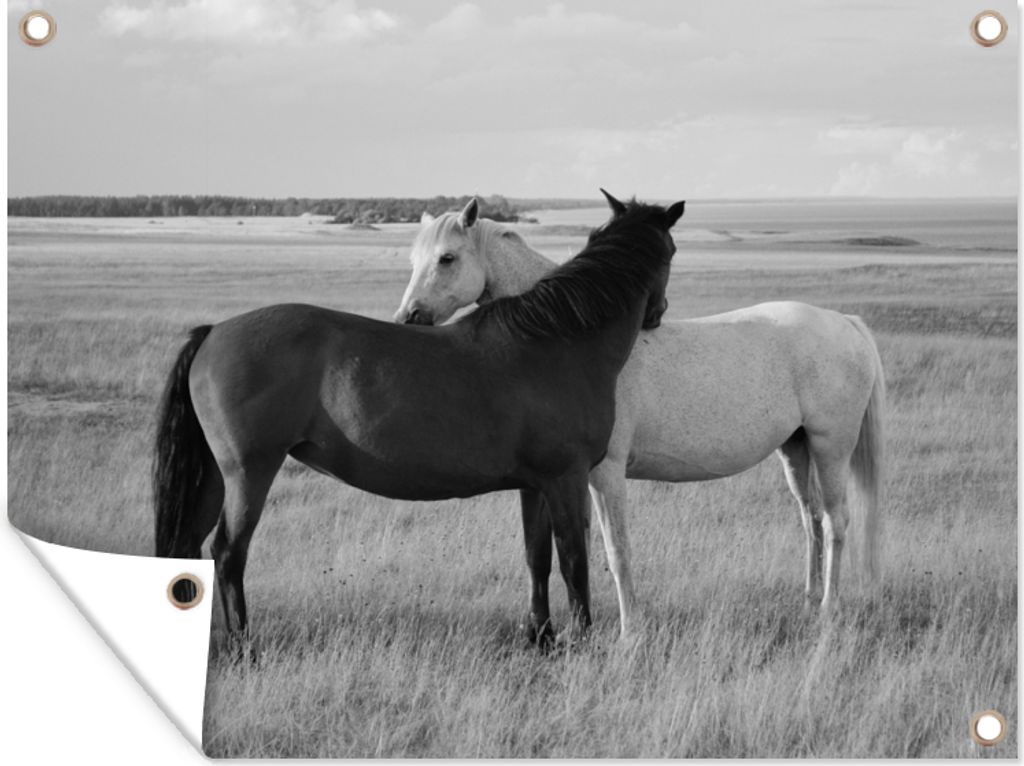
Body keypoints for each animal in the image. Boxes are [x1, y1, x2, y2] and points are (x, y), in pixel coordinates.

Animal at [153, 194, 685, 644]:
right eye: (673, 251)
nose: (657, 313)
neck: (557, 339)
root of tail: (213, 332)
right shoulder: (567, 479)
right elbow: (575, 560)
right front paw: (581, 640)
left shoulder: (535, 485)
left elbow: (537, 557)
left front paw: (542, 637)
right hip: (249, 473)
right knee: (228, 553)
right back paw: (244, 647)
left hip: (214, 478)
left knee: (189, 546)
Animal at [395, 194, 885, 637]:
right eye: (414, 259)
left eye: (447, 258)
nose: (408, 318)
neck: (570, 336)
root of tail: (844, 321)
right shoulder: (573, 477)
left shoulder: (605, 473)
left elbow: (617, 551)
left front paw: (630, 629)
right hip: (795, 449)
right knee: (810, 518)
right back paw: (808, 599)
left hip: (831, 446)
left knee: (835, 521)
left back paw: (828, 609)